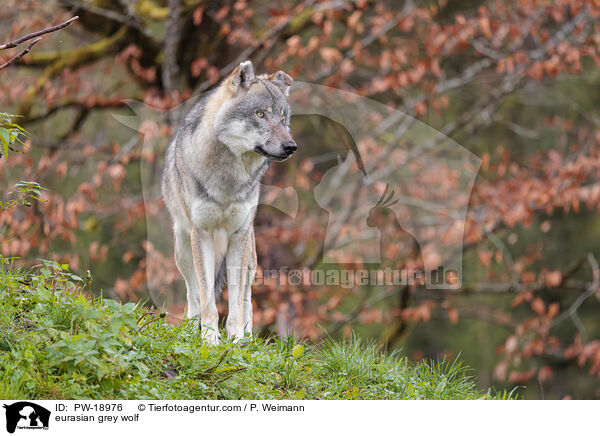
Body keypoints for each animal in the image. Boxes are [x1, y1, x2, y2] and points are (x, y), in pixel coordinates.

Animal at [161, 59, 296, 342]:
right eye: (260, 114)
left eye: (282, 118)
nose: (291, 147)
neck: (228, 179)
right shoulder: (200, 234)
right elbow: (207, 299)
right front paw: (210, 339)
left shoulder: (239, 234)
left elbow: (235, 300)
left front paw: (236, 340)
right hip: (183, 249)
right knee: (194, 293)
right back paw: (191, 328)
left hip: (251, 254)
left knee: (246, 298)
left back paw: (248, 336)